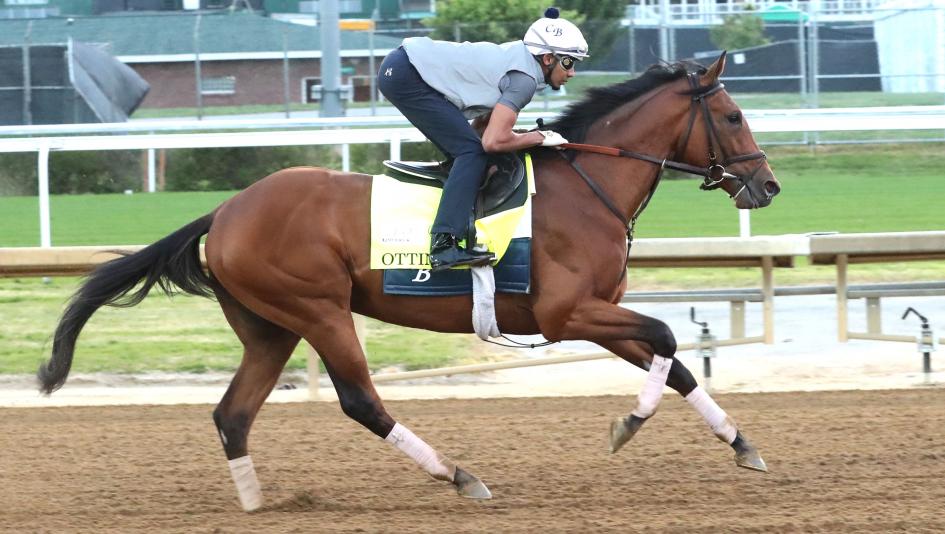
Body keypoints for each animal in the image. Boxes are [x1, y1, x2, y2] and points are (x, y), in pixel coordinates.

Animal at [39, 52, 780, 510]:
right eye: (734, 117)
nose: (767, 186)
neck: (585, 185)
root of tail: (223, 212)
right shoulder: (568, 312)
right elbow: (666, 339)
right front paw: (628, 424)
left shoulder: (596, 313)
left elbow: (673, 361)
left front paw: (743, 445)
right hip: (319, 311)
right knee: (359, 402)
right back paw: (458, 476)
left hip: (269, 328)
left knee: (233, 414)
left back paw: (254, 501)